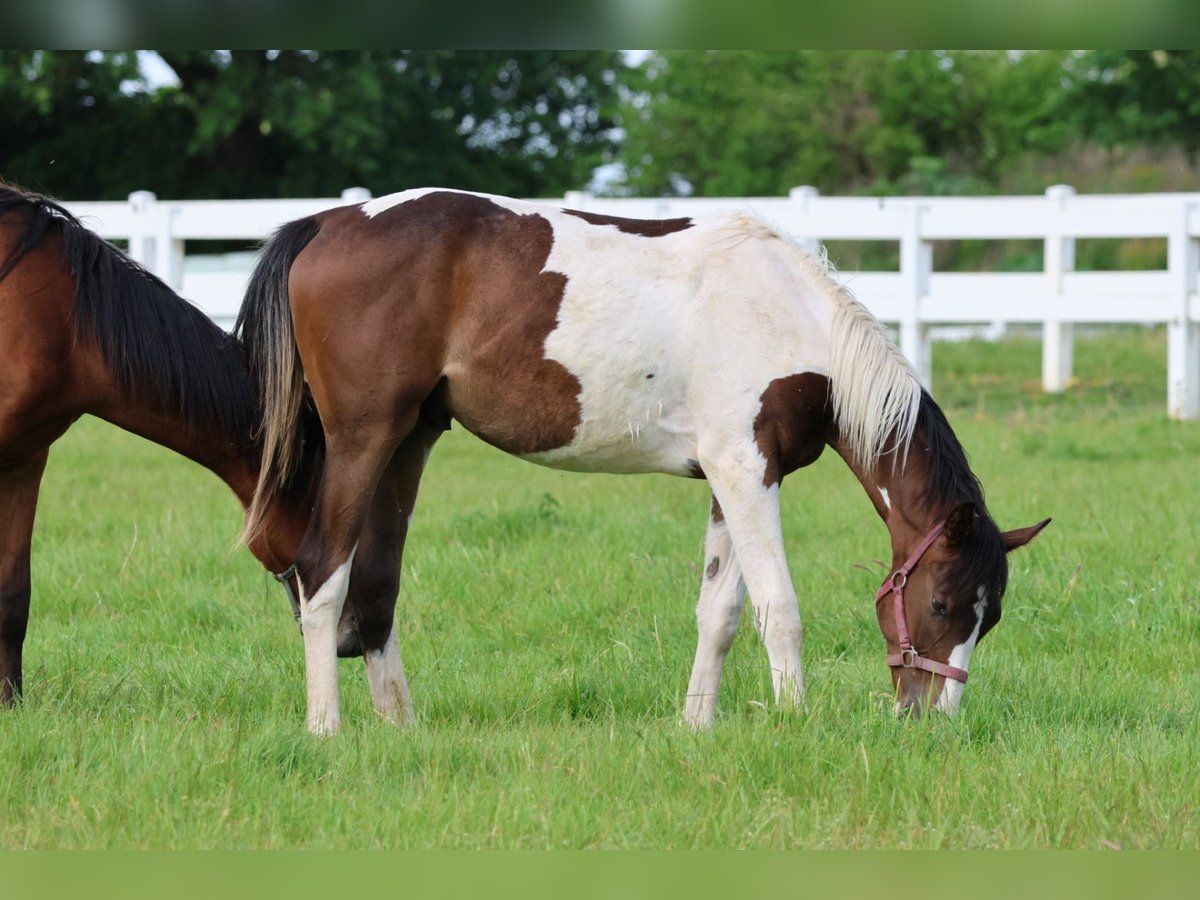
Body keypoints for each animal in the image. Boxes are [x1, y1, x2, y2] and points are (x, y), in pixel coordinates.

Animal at [236, 187, 1051, 734]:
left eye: (991, 619)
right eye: (941, 605)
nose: (933, 719)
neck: (794, 320)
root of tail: (329, 223)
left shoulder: (731, 478)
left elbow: (720, 612)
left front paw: (697, 726)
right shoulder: (746, 470)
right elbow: (778, 606)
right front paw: (795, 721)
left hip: (412, 439)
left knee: (376, 583)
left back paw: (400, 726)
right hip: (364, 438)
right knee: (322, 571)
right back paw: (326, 729)